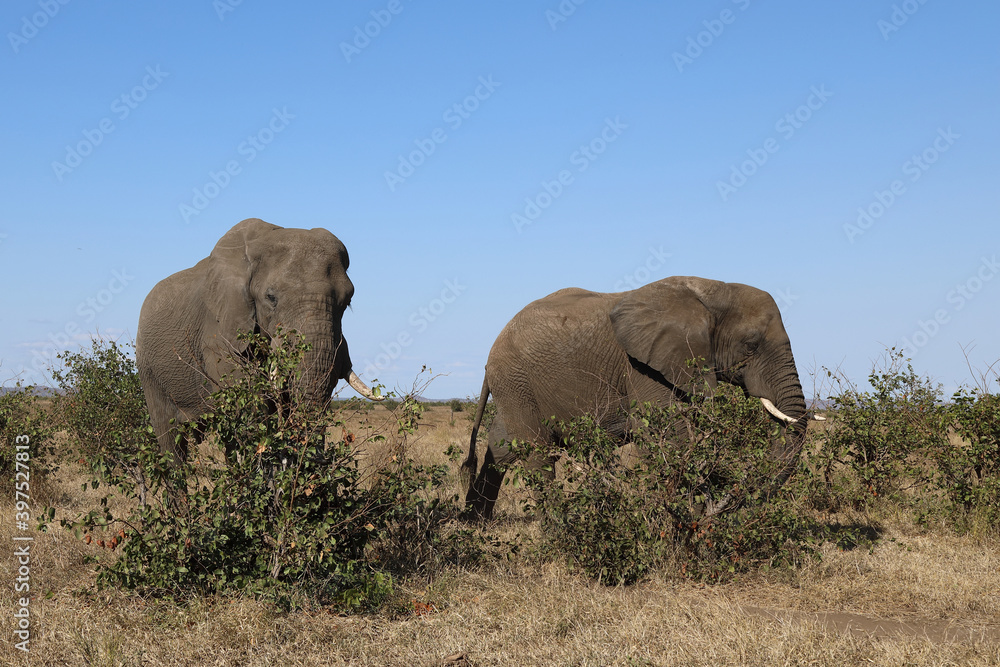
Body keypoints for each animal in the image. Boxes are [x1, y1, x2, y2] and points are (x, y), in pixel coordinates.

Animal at [136, 218, 381, 464]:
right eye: (271, 298)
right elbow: (249, 405)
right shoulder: (219, 330)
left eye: (347, 301)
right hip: (149, 370)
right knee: (170, 439)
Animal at [461, 275, 811, 520]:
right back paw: (555, 530)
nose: (731, 507)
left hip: (516, 387)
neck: (711, 290)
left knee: (503, 448)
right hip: (515, 380)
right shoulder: (643, 367)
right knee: (539, 455)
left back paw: (476, 522)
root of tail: (494, 344)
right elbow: (670, 436)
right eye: (750, 345)